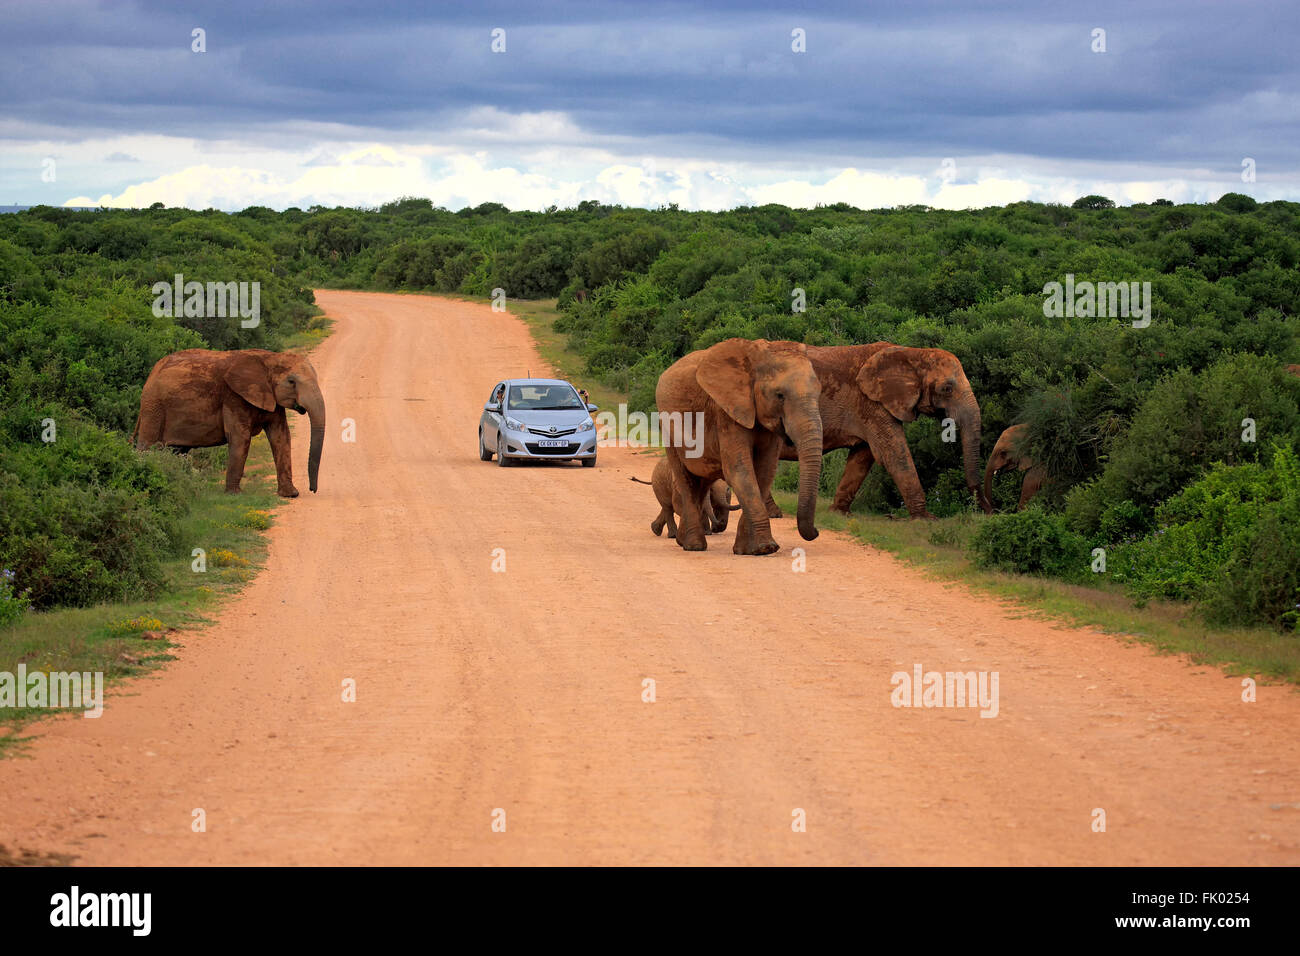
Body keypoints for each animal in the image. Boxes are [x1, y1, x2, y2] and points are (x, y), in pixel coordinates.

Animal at [133, 351, 325, 502]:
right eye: (291, 381)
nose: (312, 489)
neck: (269, 358)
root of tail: (151, 374)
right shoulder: (234, 397)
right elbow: (241, 439)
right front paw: (235, 495)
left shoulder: (272, 399)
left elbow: (281, 436)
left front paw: (290, 494)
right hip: (154, 407)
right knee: (148, 446)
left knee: (177, 450)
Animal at [655, 340, 826, 556]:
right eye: (780, 395)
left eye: (819, 393)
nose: (816, 531)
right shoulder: (726, 412)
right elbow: (740, 472)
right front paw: (767, 547)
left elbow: (765, 473)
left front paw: (747, 550)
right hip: (667, 428)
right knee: (686, 481)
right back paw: (694, 546)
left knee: (702, 484)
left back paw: (681, 540)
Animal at [764, 343, 987, 520]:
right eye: (947, 388)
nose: (988, 511)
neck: (913, 353)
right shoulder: (872, 403)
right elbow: (895, 455)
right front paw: (926, 519)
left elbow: (862, 457)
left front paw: (839, 514)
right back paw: (774, 514)